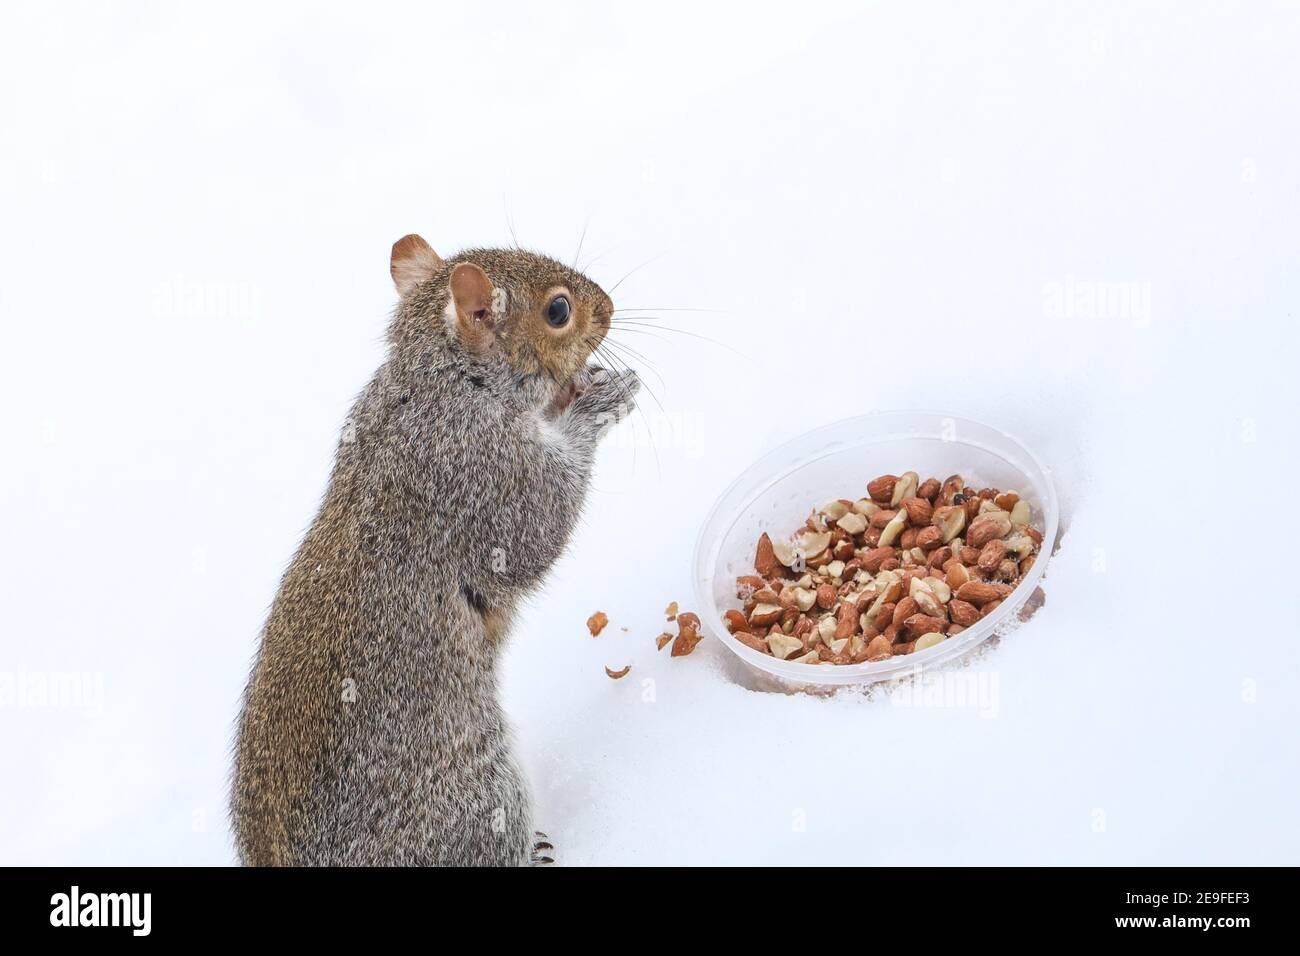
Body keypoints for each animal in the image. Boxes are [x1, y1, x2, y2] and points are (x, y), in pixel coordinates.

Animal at [236, 238, 642, 868]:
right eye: (559, 311)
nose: (609, 308)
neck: (439, 378)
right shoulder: (477, 473)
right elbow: (535, 531)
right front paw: (595, 404)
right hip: (478, 798)